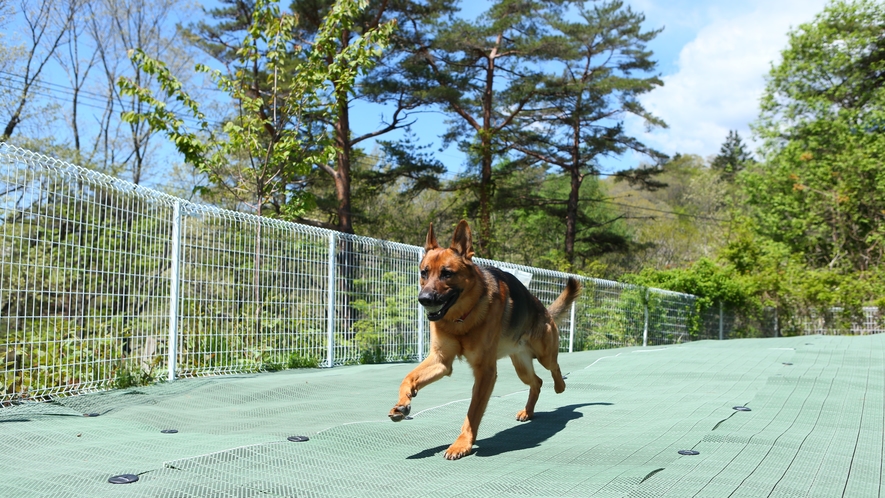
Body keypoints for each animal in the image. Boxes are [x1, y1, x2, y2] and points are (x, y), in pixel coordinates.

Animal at [386, 220, 580, 462]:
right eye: (424, 273)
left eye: (447, 274)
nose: (424, 299)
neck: (460, 318)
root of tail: (543, 309)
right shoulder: (441, 361)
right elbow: (408, 378)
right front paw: (402, 404)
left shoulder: (485, 371)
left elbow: (473, 411)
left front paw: (462, 444)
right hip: (521, 368)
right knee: (536, 382)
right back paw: (528, 411)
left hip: (544, 354)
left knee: (554, 368)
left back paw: (560, 386)